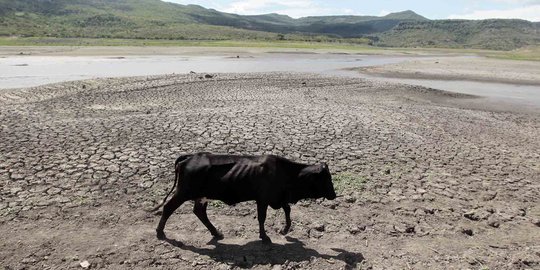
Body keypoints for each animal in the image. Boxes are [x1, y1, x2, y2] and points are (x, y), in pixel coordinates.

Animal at [154, 153, 336, 244]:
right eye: (326, 179)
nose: (334, 195)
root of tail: (190, 156)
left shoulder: (278, 198)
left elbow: (287, 209)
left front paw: (284, 230)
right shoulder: (263, 199)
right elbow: (262, 217)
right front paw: (265, 237)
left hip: (200, 195)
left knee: (199, 211)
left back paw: (216, 232)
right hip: (183, 192)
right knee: (168, 208)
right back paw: (160, 232)